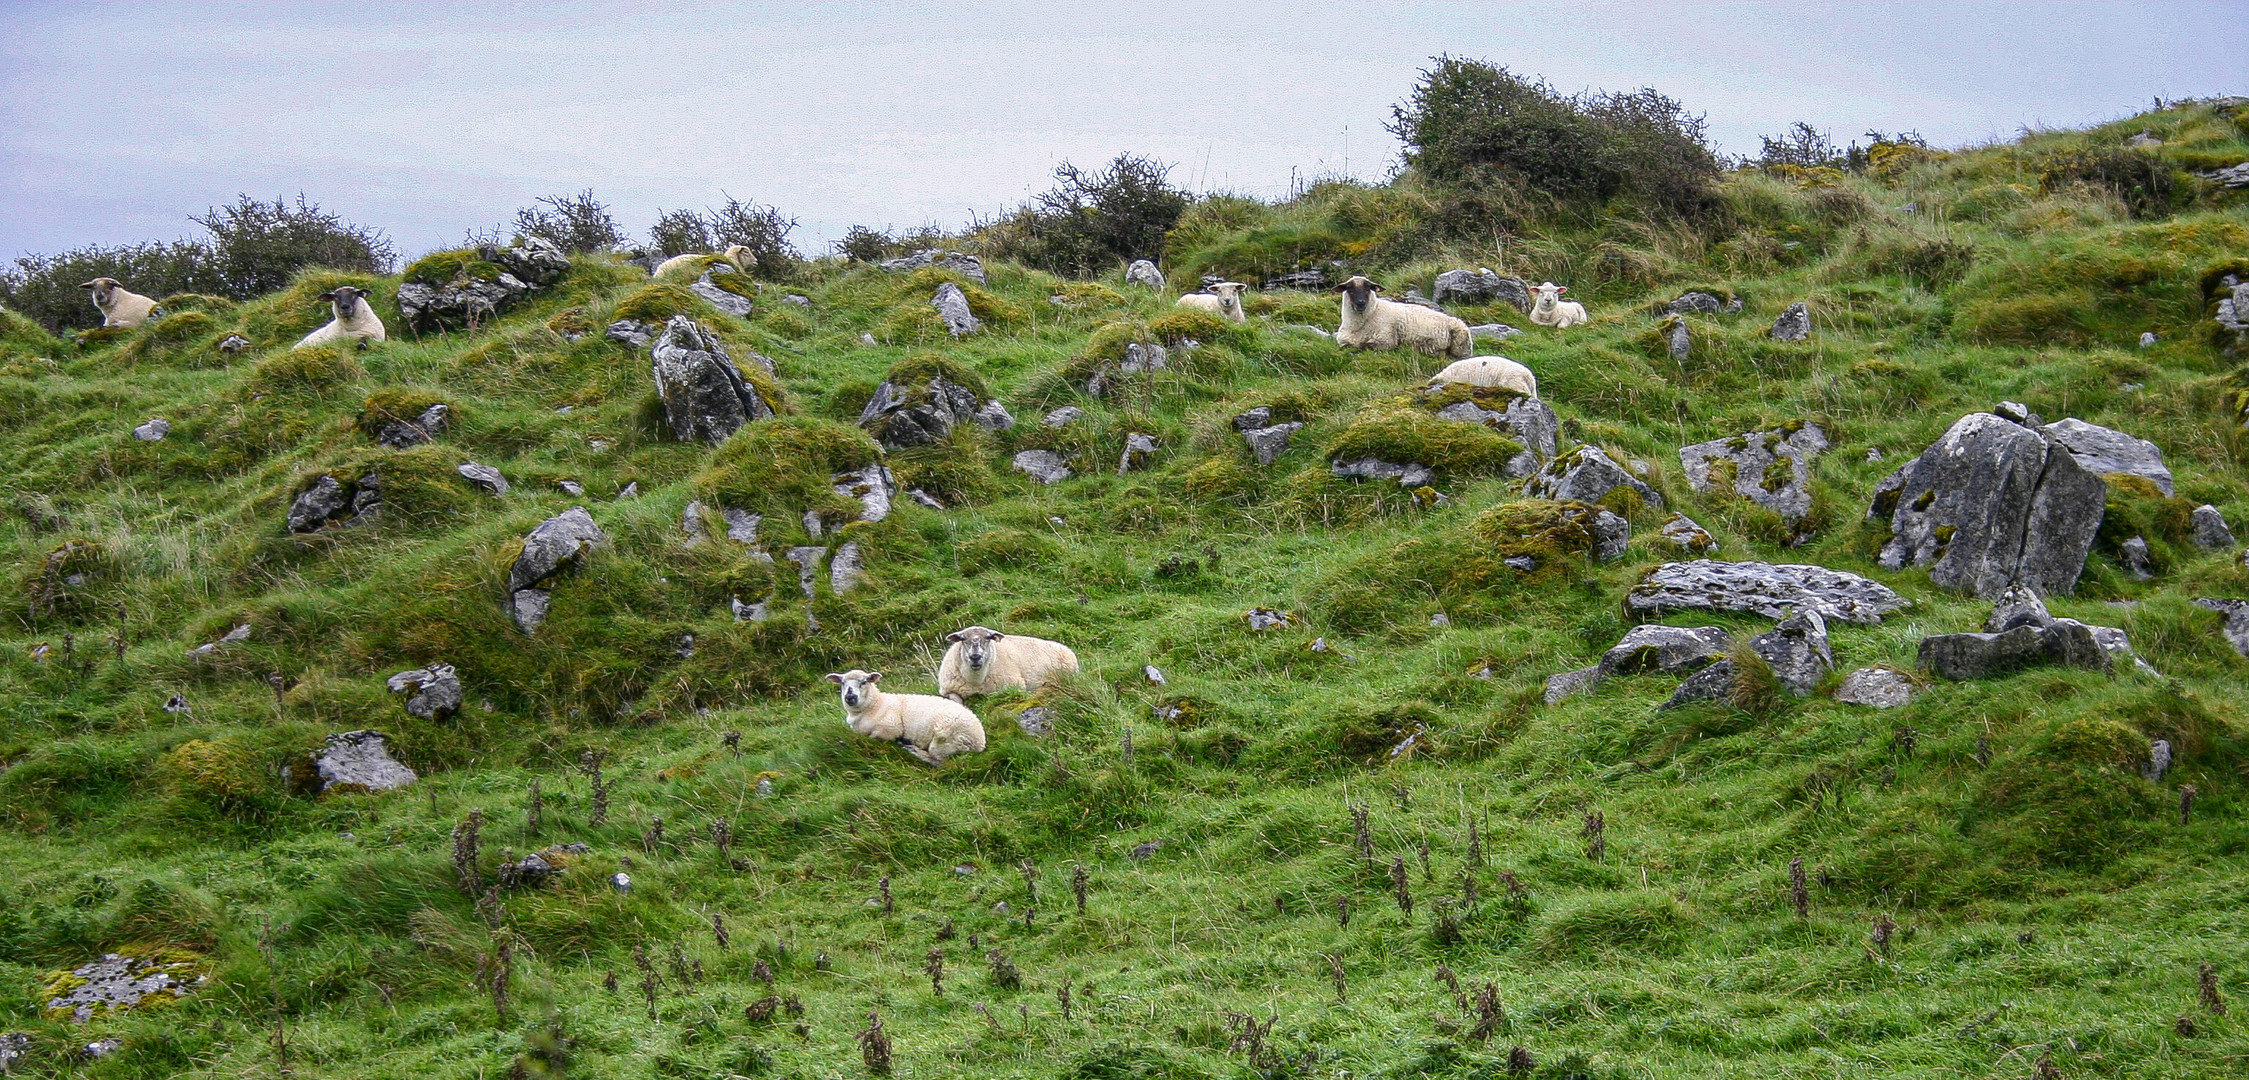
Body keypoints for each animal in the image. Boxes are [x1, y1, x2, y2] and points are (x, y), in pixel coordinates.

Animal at [827, 666, 985, 769]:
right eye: (842, 683)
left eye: (864, 682)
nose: (850, 697)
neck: (875, 704)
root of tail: (980, 743)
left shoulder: (889, 729)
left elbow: (872, 738)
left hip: (945, 739)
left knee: (939, 762)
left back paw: (912, 749)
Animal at [940, 625, 1079, 702]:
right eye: (963, 639)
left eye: (988, 637)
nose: (975, 657)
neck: (975, 681)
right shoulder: (947, 691)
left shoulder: (1014, 685)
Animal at [1331, 274, 1475, 357]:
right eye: (1349, 288)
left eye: (1369, 288)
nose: (1361, 303)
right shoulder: (1343, 341)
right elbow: (1347, 346)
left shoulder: (1386, 340)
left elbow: (1366, 346)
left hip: (1461, 345)